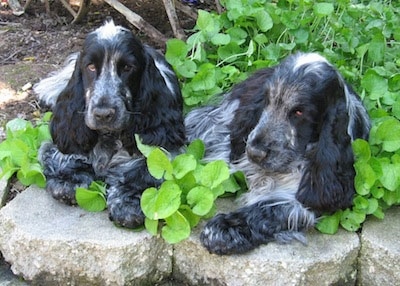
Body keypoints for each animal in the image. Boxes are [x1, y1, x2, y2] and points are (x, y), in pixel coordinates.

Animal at [34, 20, 184, 228]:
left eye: (128, 67)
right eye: (90, 66)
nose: (103, 114)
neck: (109, 137)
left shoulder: (164, 147)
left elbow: (144, 170)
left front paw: (127, 203)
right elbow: (64, 154)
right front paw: (69, 180)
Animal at [186, 52, 370, 255]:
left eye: (299, 112)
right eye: (266, 100)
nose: (254, 152)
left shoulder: (309, 196)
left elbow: (270, 209)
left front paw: (223, 229)